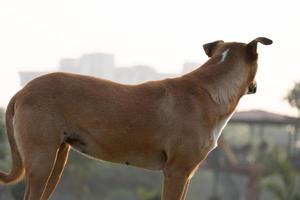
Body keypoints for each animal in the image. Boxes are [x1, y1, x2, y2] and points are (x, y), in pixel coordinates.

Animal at [0, 37, 272, 198]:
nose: (256, 86)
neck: (209, 89)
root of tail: (21, 92)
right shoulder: (177, 172)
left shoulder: (186, 174)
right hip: (41, 163)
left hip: (57, 161)